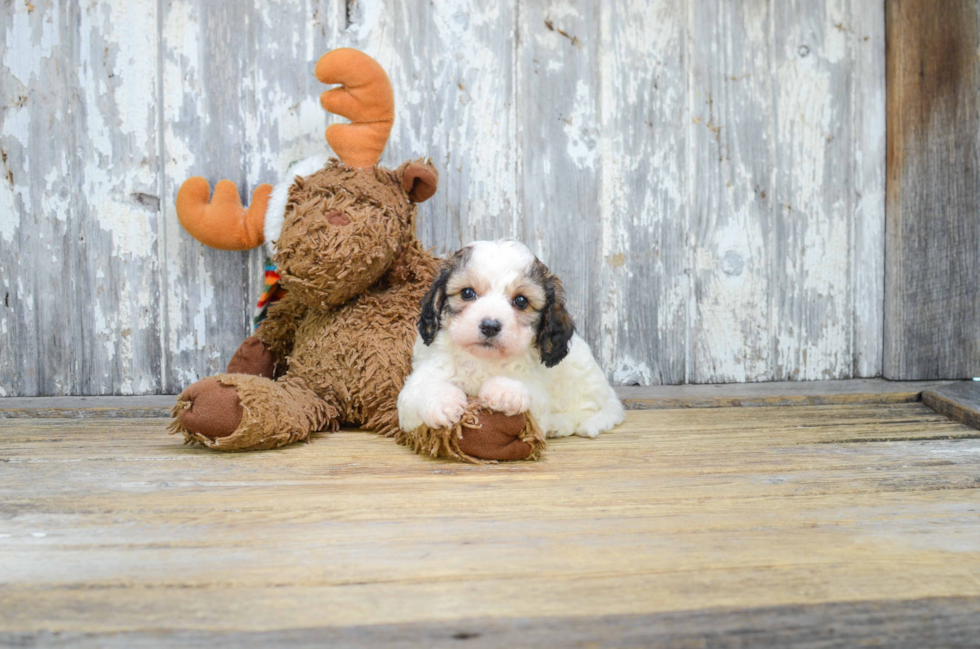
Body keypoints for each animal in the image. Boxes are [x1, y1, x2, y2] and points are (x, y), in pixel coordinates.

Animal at [396, 240, 620, 438]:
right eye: (467, 293)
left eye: (521, 301)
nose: (490, 326)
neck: (482, 360)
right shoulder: (416, 389)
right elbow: (419, 390)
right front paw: (443, 402)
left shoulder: (537, 397)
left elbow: (531, 395)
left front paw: (505, 392)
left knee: (584, 410)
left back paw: (557, 424)